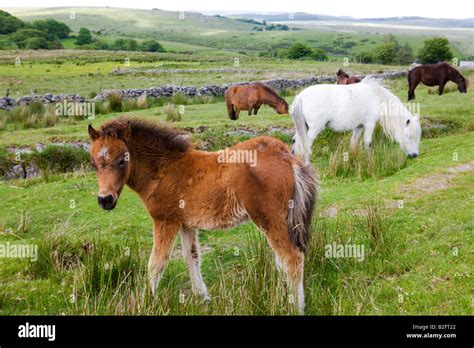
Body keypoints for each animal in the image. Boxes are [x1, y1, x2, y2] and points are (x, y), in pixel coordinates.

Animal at [89, 117, 318, 316]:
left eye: (122, 160)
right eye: (94, 163)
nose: (105, 200)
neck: (163, 171)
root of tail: (286, 156)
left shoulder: (165, 221)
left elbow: (156, 263)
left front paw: (144, 302)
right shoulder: (186, 224)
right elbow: (191, 257)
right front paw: (203, 297)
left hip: (270, 219)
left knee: (292, 258)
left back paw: (294, 307)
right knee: (284, 260)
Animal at [290, 80, 420, 164]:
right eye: (408, 136)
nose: (414, 155)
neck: (376, 96)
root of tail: (301, 96)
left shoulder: (359, 126)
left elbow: (354, 142)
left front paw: (353, 158)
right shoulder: (369, 124)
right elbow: (368, 142)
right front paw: (370, 160)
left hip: (304, 127)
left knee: (296, 141)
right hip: (314, 129)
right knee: (306, 144)